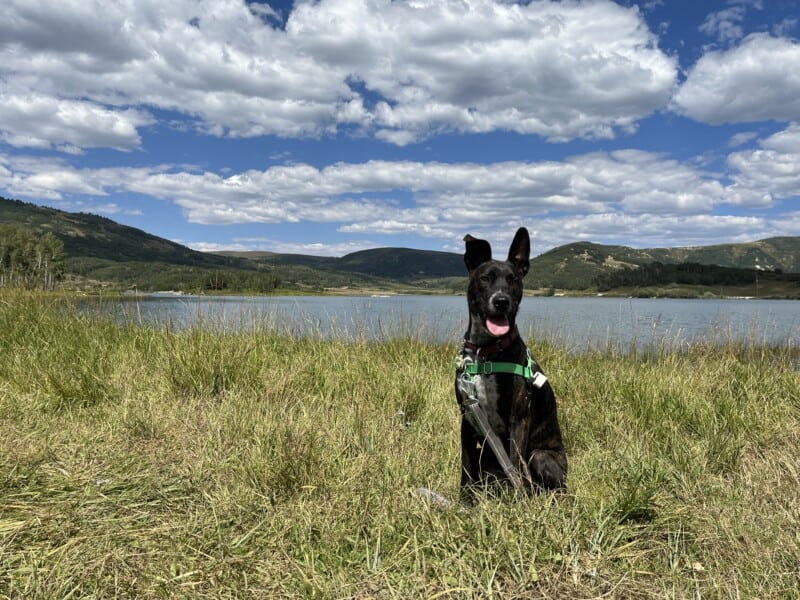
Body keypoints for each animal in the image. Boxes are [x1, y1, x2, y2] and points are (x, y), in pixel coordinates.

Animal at [456, 226, 568, 502]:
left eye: (513, 280)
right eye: (485, 278)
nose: (501, 301)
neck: (485, 354)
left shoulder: (519, 419)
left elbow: (515, 463)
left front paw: (517, 504)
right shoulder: (467, 418)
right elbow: (465, 466)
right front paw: (464, 501)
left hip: (540, 456)